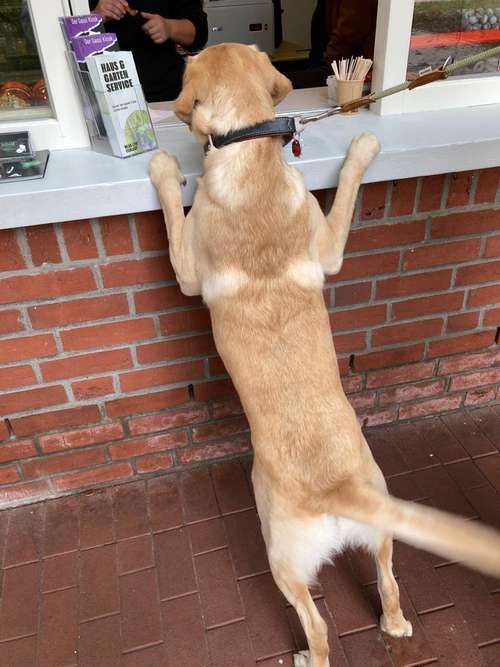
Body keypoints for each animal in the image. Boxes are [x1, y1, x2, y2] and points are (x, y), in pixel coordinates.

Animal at [150, 44, 500, 664]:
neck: (250, 153)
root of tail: (335, 491)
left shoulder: (188, 268)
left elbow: (172, 211)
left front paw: (165, 167)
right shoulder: (329, 246)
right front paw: (363, 149)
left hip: (280, 556)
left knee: (315, 623)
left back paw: (307, 654)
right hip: (382, 520)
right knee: (389, 583)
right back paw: (394, 625)